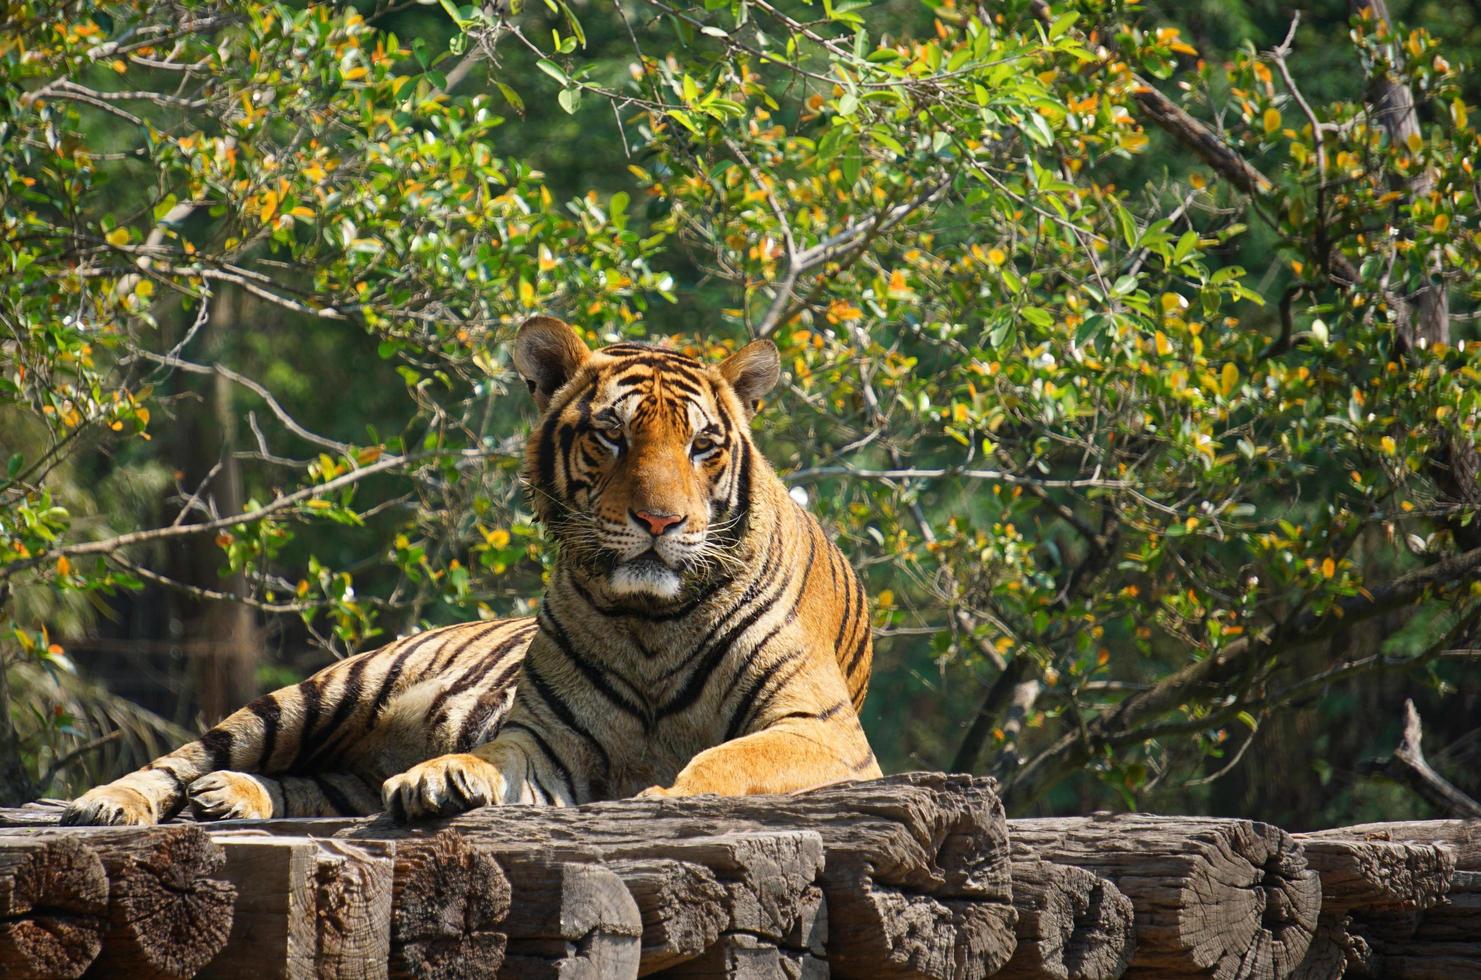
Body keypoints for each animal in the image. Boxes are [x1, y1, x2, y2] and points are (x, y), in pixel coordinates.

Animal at [63, 316, 876, 829]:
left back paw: (227, 798)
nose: (659, 523)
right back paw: (114, 801)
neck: (649, 620)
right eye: (611, 437)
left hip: (341, 761)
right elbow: (494, 754)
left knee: (317, 787)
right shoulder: (548, 742)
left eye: (704, 445)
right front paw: (442, 777)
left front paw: (662, 800)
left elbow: (721, 761)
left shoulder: (822, 734)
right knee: (189, 755)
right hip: (321, 695)